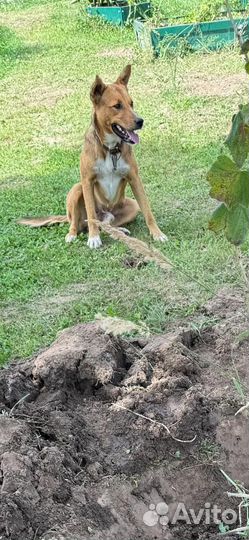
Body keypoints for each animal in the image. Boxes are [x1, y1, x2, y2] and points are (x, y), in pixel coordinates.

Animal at [18, 66, 166, 249]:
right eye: (117, 106)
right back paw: (73, 234)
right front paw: (94, 238)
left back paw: (119, 231)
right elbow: (90, 214)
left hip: (131, 205)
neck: (110, 149)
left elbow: (147, 210)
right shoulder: (87, 181)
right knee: (79, 222)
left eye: (131, 103)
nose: (140, 121)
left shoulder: (134, 178)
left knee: (108, 224)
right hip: (77, 189)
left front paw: (157, 233)